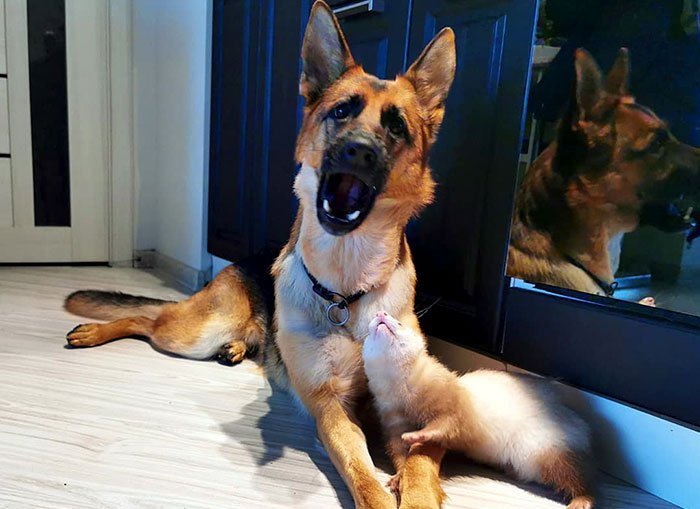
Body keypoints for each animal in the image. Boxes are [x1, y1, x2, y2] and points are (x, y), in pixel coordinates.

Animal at [65, 1, 456, 506]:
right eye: (342, 110)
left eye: (395, 126)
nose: (358, 151)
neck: (346, 289)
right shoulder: (331, 407)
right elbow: (363, 472)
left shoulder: (417, 418)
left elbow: (421, 464)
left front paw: (417, 492)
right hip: (196, 331)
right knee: (146, 318)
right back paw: (94, 332)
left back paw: (234, 349)